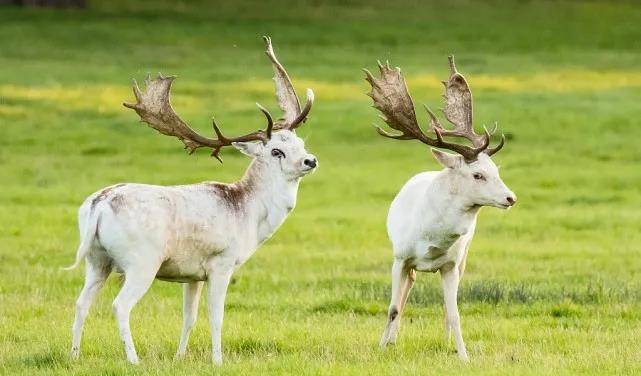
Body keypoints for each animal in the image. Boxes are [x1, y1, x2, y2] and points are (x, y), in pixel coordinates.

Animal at [64, 36, 316, 364]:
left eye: (300, 143)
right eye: (276, 151)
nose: (311, 160)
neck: (248, 215)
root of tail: (99, 204)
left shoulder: (192, 274)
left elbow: (189, 317)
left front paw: (179, 356)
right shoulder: (222, 262)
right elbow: (216, 316)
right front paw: (218, 360)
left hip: (96, 259)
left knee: (81, 302)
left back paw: (74, 356)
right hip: (142, 260)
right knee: (120, 305)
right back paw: (134, 359)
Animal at [364, 57, 516, 360]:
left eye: (496, 169)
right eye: (478, 174)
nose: (510, 198)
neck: (431, 239)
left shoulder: (451, 265)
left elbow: (454, 312)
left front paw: (463, 355)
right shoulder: (399, 257)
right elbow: (393, 307)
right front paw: (381, 347)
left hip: (464, 258)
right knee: (406, 289)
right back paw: (392, 340)